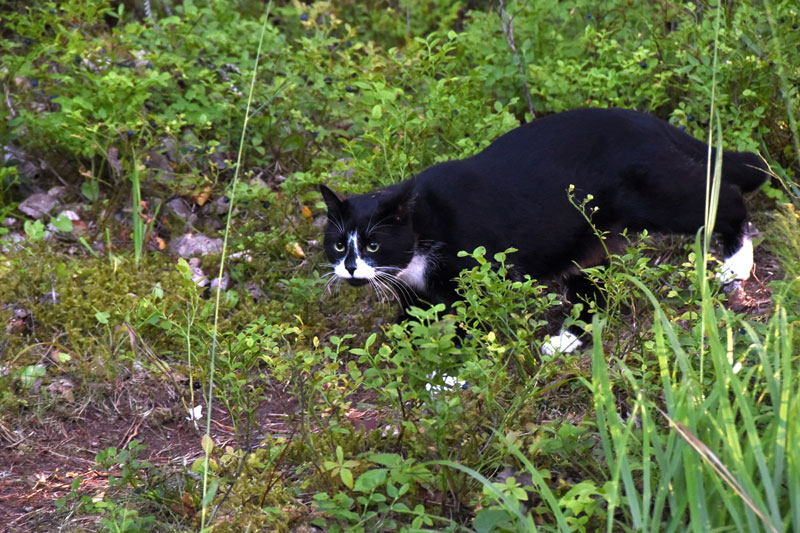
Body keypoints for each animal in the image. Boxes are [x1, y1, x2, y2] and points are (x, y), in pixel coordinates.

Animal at [318, 108, 768, 354]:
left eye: (373, 243)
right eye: (339, 245)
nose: (351, 268)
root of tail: (647, 120)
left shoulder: (480, 276)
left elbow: (471, 325)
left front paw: (446, 378)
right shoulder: (417, 292)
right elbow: (409, 323)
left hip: (659, 196)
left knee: (727, 194)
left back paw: (735, 264)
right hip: (587, 241)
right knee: (594, 293)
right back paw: (563, 341)